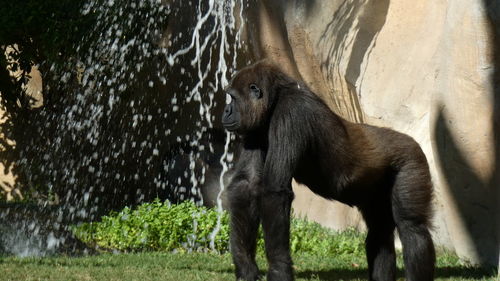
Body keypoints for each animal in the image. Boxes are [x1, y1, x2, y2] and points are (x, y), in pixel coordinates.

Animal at [221, 61, 436, 280]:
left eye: (233, 98)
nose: (226, 111)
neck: (275, 99)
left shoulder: (291, 112)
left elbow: (274, 192)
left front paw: (278, 270)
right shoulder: (255, 128)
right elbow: (247, 185)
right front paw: (246, 267)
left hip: (412, 159)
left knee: (412, 227)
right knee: (380, 231)